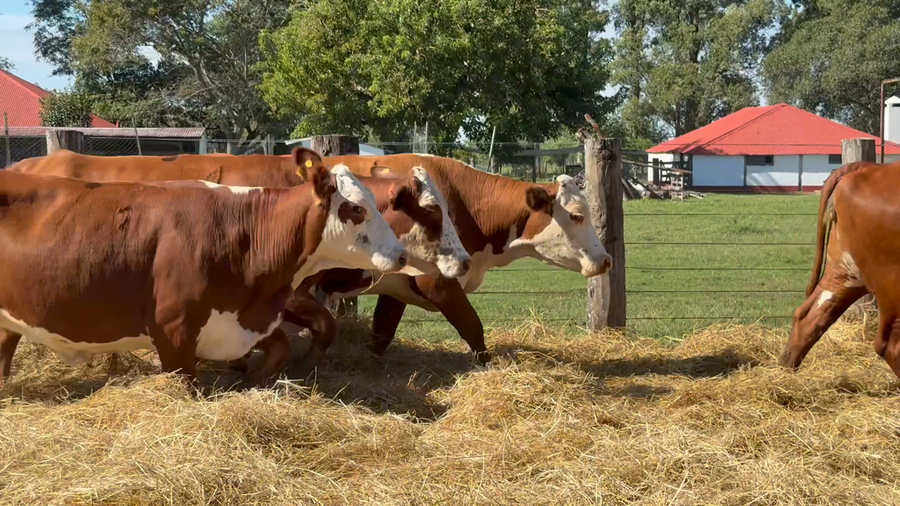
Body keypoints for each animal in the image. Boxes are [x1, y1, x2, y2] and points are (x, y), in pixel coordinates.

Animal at [316, 154, 613, 363]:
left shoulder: (396, 287)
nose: (606, 260)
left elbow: (382, 333)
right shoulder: (438, 281)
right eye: (577, 215)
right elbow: (473, 328)